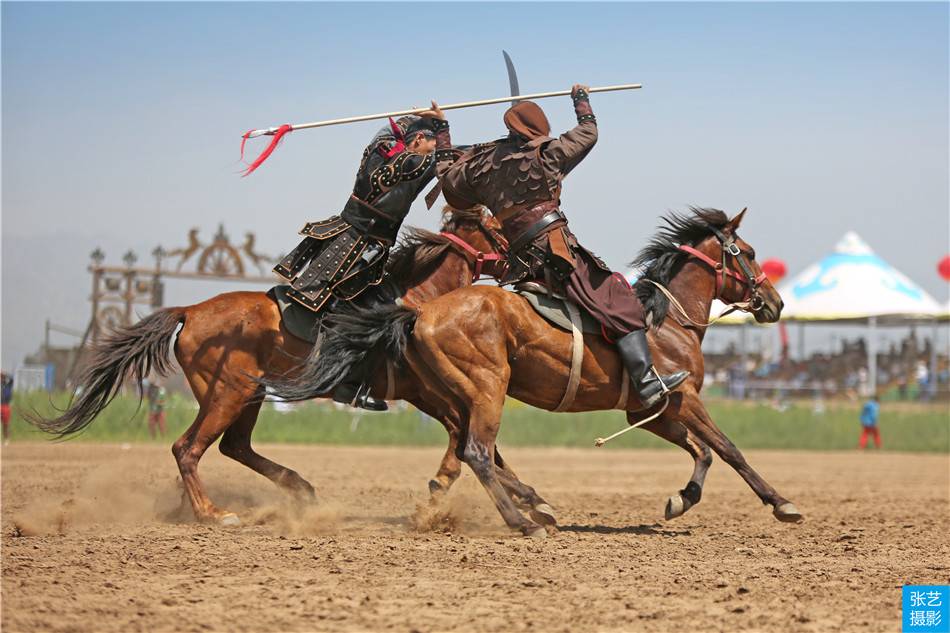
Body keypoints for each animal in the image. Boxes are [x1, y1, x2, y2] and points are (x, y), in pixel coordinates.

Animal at [33, 207, 556, 524]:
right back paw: (212, 513)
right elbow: (467, 436)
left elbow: (475, 439)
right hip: (227, 394)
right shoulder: (424, 392)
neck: (418, 300)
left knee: (232, 447)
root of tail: (190, 311)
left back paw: (291, 490)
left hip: (247, 395)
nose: (539, 261)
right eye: (501, 223)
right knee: (188, 448)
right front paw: (522, 500)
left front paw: (531, 500)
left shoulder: (437, 393)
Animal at [356, 207, 804, 532]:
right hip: (486, 390)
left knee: (471, 450)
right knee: (477, 452)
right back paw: (523, 520)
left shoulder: (649, 411)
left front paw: (681, 499)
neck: (668, 321)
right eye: (748, 253)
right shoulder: (684, 397)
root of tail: (421, 313)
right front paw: (781, 503)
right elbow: (728, 449)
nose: (775, 302)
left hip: (454, 398)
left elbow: (702, 450)